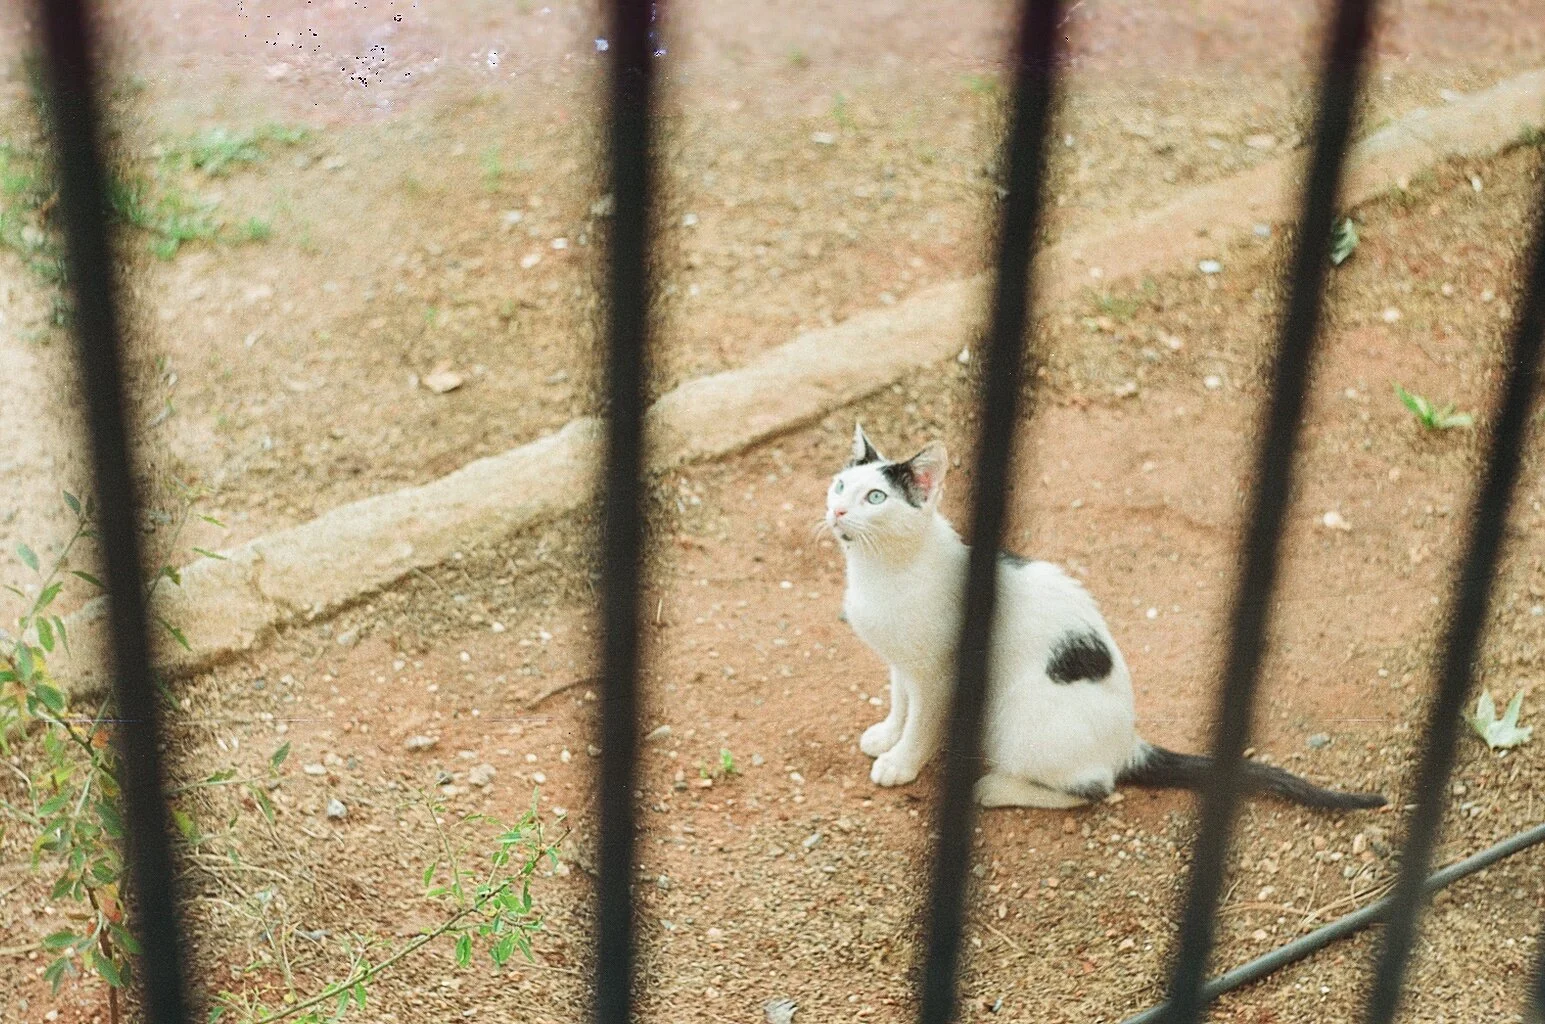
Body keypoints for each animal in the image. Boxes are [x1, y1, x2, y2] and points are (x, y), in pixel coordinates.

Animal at [825, 423, 1386, 811]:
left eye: (875, 497)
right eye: (839, 485)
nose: (837, 512)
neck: (881, 569)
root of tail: (1127, 744)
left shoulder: (939, 673)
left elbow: (922, 721)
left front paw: (902, 761)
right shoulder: (902, 663)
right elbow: (900, 701)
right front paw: (886, 735)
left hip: (1017, 719)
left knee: (1095, 788)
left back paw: (996, 787)